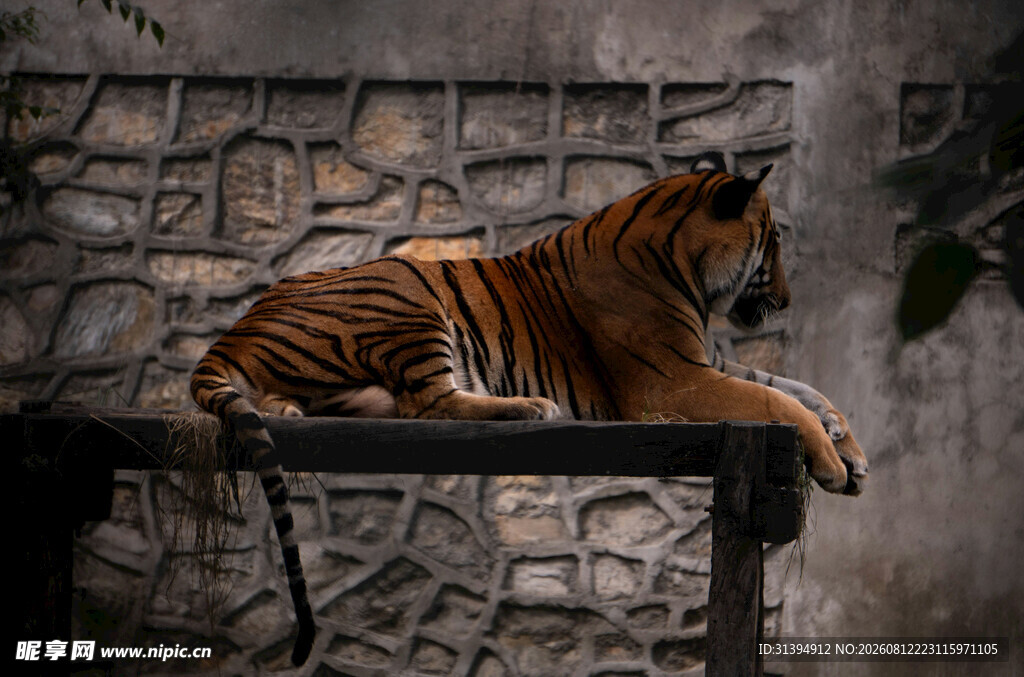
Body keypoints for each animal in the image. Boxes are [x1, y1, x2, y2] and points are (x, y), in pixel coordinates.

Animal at [190, 150, 868, 665]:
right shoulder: (670, 382)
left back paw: (297, 412)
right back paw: (529, 406)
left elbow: (794, 386)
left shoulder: (703, 365)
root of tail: (237, 327)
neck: (687, 270)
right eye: (771, 244)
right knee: (428, 405)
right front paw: (833, 465)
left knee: (368, 403)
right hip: (406, 285)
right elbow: (774, 395)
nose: (786, 301)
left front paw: (849, 448)